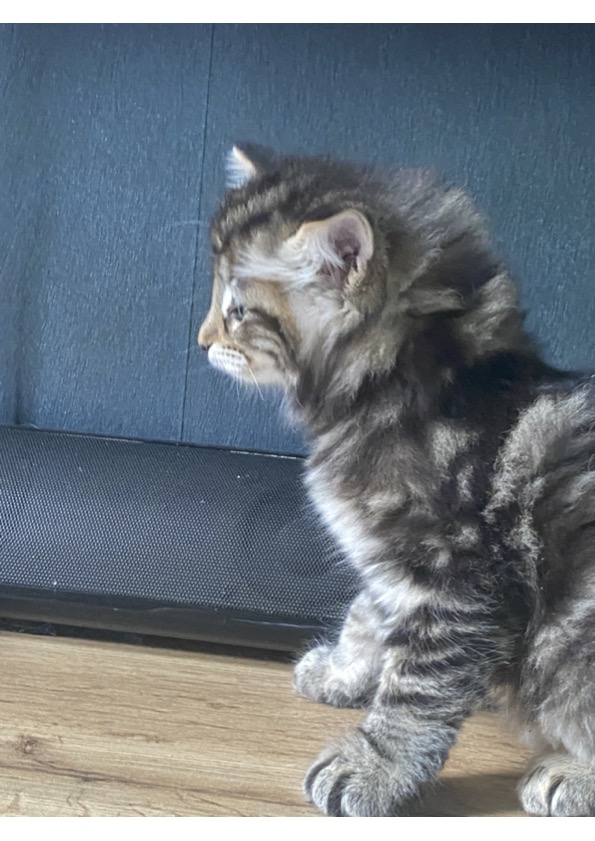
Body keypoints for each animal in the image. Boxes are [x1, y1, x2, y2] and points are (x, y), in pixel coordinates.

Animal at [198, 144, 595, 817]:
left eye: (237, 309)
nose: (200, 341)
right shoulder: (387, 558)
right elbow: (367, 614)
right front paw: (342, 672)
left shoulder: (458, 574)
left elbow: (418, 687)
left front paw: (374, 767)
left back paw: (571, 774)